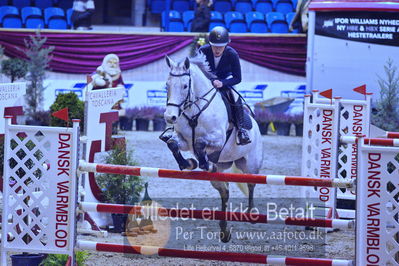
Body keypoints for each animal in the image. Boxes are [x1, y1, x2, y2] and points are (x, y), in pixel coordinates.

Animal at [161, 54, 264, 243]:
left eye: (185, 86)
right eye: (167, 85)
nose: (169, 117)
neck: (195, 110)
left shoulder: (217, 138)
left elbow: (200, 143)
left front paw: (202, 163)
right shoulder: (184, 141)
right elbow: (172, 143)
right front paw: (189, 163)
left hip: (250, 164)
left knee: (251, 183)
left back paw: (251, 213)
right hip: (220, 172)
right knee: (224, 191)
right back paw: (224, 231)